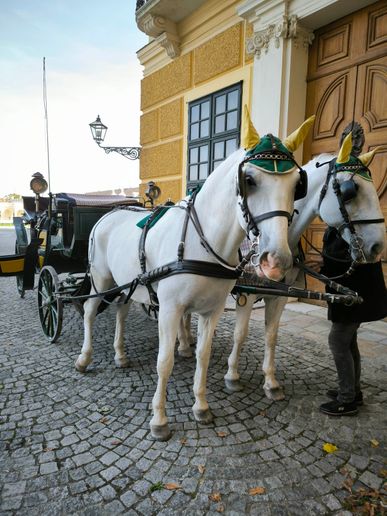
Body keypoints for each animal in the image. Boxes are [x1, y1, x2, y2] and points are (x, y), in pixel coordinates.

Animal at [75, 112, 316, 440]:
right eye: (249, 180)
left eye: (296, 185)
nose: (275, 260)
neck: (201, 244)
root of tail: (109, 214)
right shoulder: (170, 309)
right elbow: (164, 361)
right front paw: (159, 418)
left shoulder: (211, 310)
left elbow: (204, 354)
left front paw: (200, 406)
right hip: (101, 279)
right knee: (89, 311)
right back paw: (84, 357)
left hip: (129, 285)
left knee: (122, 311)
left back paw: (120, 354)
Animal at [221, 134, 384, 400]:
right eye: (350, 191)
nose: (378, 246)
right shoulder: (247, 293)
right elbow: (240, 334)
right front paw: (232, 375)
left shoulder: (279, 297)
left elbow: (271, 335)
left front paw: (270, 381)